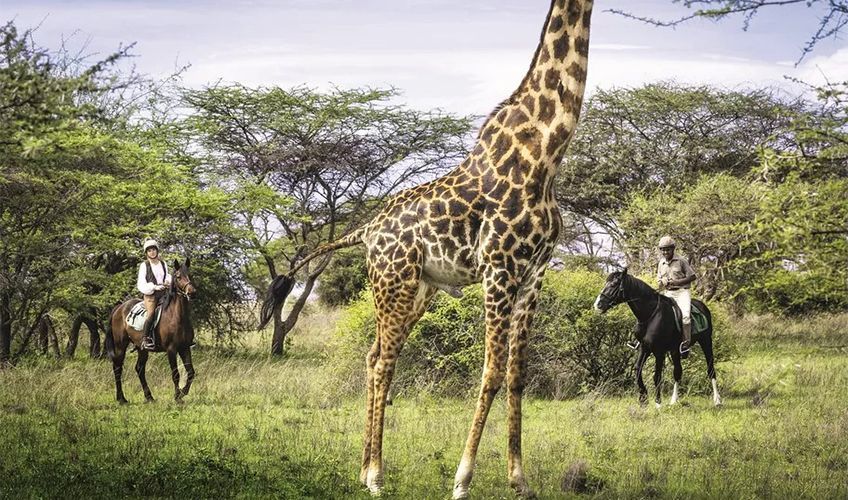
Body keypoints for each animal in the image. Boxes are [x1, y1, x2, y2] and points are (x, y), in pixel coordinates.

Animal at [105, 259, 196, 403]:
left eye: (190, 275)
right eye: (178, 277)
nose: (192, 292)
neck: (177, 316)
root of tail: (119, 308)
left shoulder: (184, 347)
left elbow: (191, 372)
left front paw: (183, 393)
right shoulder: (171, 349)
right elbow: (175, 374)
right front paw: (177, 397)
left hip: (141, 348)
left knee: (139, 369)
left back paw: (149, 397)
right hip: (120, 345)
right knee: (117, 367)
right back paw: (121, 398)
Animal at [258, 0, 594, 496]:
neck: (545, 155)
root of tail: (366, 231)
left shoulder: (534, 271)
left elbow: (517, 372)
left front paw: (520, 479)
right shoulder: (499, 268)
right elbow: (492, 370)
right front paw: (463, 478)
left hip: (420, 290)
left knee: (375, 355)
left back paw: (363, 468)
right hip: (393, 284)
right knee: (383, 362)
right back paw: (376, 477)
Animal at [593, 268, 721, 408]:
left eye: (613, 284)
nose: (597, 305)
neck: (650, 315)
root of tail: (703, 306)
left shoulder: (659, 352)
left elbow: (657, 376)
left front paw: (658, 403)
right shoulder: (644, 348)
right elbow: (638, 370)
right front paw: (643, 398)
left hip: (706, 342)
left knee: (710, 369)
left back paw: (717, 400)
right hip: (675, 350)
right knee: (677, 372)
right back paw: (674, 401)